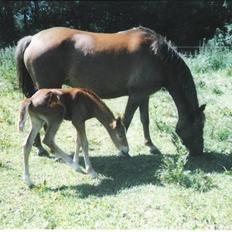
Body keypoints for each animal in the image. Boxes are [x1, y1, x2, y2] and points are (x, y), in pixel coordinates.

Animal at [15, 25, 206, 156]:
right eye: (200, 125)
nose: (199, 152)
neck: (156, 55)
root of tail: (33, 38)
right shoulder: (135, 95)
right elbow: (127, 120)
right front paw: (122, 149)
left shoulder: (144, 95)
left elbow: (145, 120)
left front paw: (150, 145)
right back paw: (42, 148)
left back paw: (39, 147)